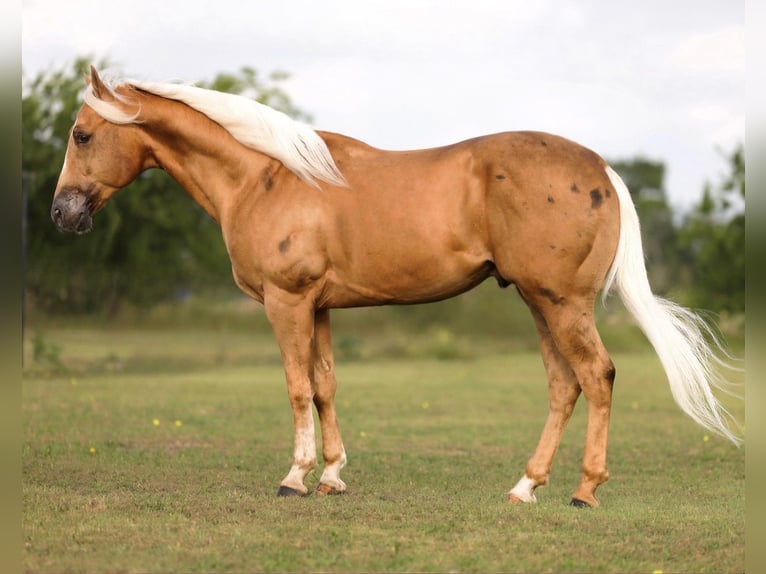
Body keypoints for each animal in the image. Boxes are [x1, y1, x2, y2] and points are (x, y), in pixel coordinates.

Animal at [51, 66, 740, 507]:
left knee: (596, 377)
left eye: (82, 134)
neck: (263, 175)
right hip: (540, 304)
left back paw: (584, 491)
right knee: (564, 386)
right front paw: (332, 476)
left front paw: (295, 477)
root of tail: (600, 168)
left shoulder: (286, 303)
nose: (61, 213)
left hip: (561, 304)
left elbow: (297, 387)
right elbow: (325, 386)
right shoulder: (318, 307)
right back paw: (525, 487)